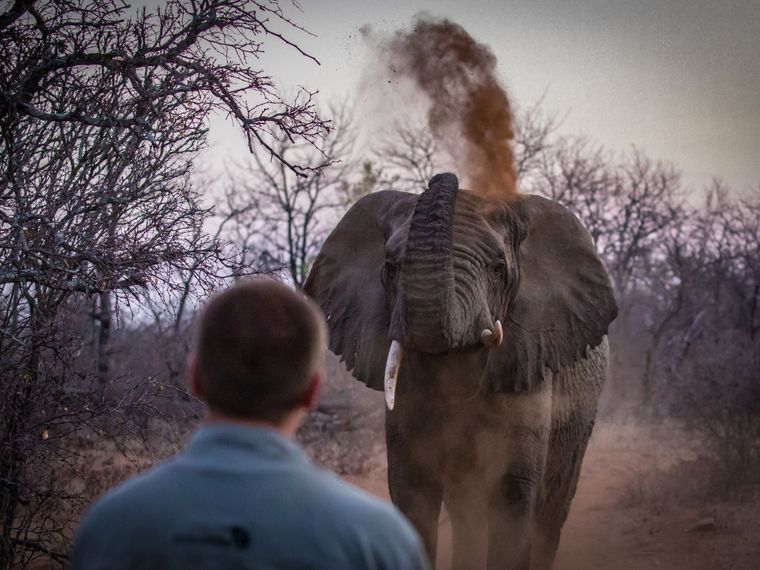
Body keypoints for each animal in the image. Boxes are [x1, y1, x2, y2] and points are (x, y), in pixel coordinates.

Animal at [304, 172, 617, 570]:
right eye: (390, 267)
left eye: (498, 268)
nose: (445, 176)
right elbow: (412, 489)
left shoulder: (530, 359)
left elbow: (513, 490)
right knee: (466, 509)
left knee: (551, 508)